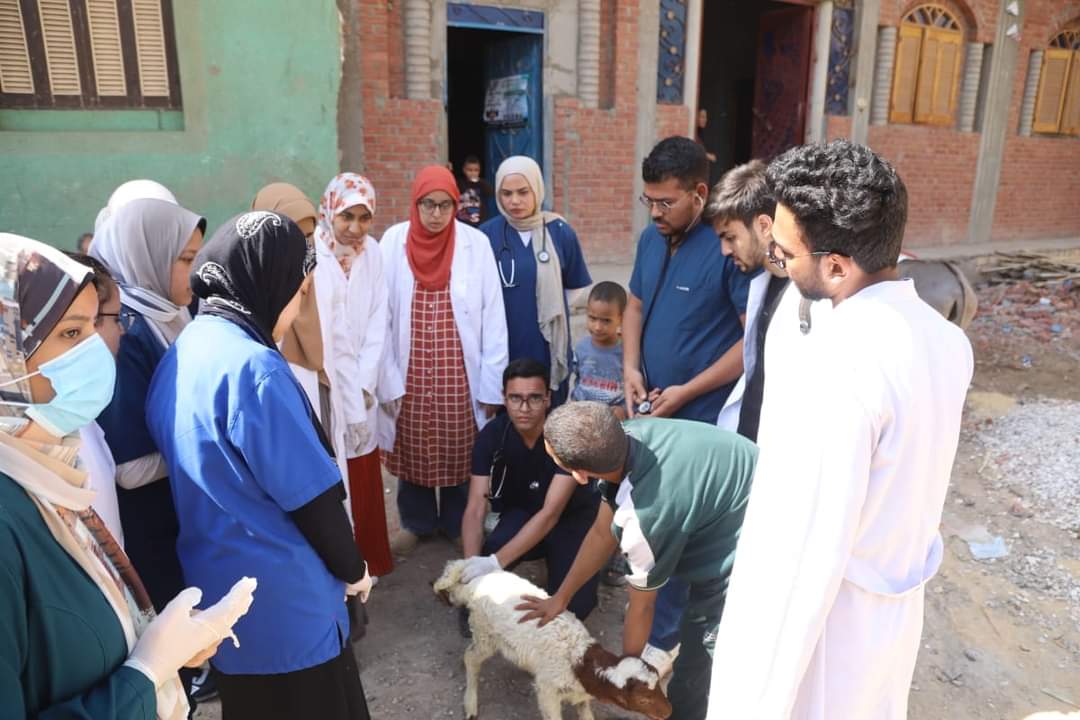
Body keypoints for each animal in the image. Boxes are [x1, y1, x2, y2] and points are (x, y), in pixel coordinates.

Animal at [433, 559, 672, 720]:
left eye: (660, 684)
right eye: (643, 700)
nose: (668, 712)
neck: (581, 661)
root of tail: (477, 581)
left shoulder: (580, 694)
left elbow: (585, 712)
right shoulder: (548, 691)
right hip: (485, 633)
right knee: (471, 658)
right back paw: (471, 704)